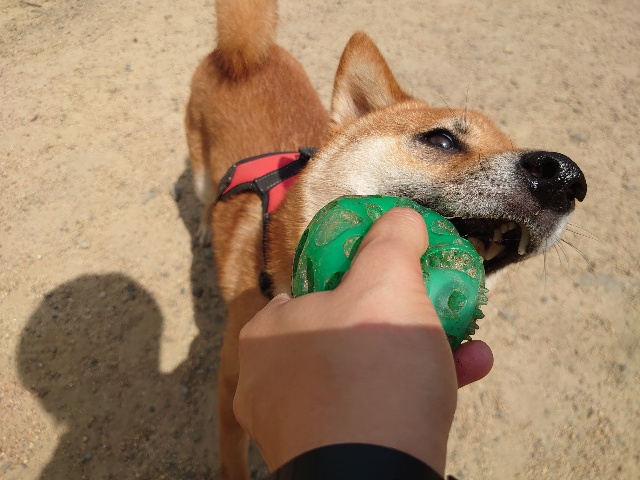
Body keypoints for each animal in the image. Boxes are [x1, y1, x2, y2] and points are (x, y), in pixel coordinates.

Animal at [185, 0, 587, 477]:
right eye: (442, 139)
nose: (565, 177)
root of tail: (244, 57)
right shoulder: (230, 395)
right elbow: (233, 462)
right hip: (201, 177)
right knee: (205, 201)